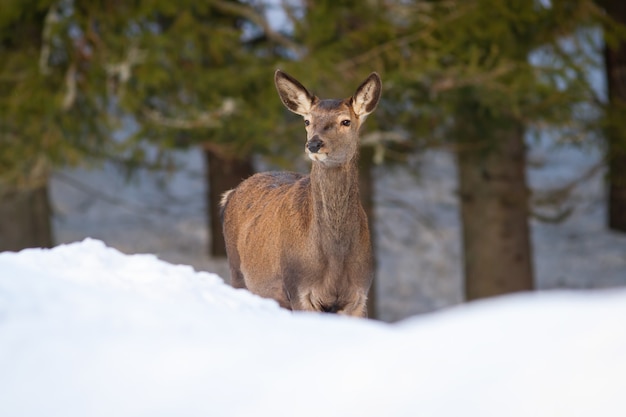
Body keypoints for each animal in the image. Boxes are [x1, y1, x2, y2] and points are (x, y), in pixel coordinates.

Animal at [218, 69, 380, 316]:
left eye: (345, 121)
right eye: (307, 121)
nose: (313, 144)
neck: (335, 257)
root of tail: (231, 192)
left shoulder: (359, 295)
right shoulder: (298, 289)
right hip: (237, 272)